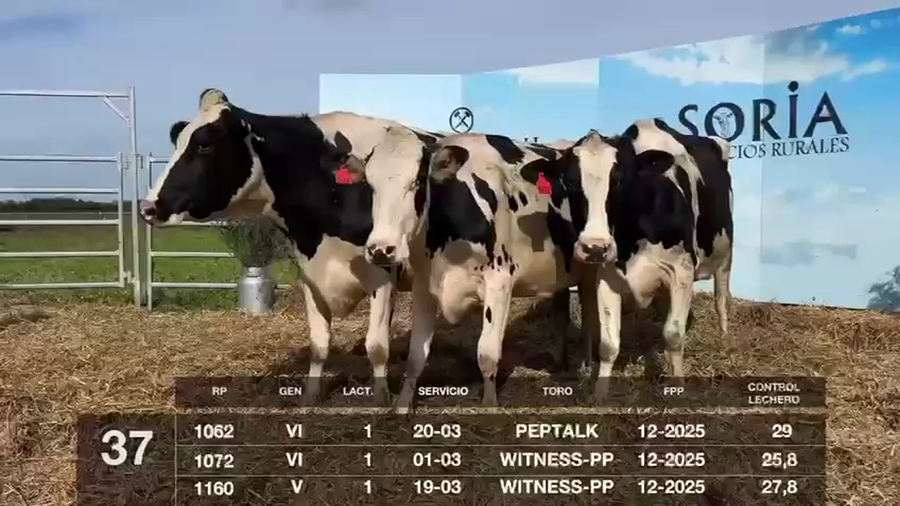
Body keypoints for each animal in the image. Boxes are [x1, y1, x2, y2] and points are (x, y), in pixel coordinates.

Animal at [139, 88, 421, 406]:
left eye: (204, 145)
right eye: (178, 142)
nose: (148, 207)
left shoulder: (383, 272)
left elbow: (377, 345)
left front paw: (381, 399)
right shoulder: (310, 273)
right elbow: (319, 344)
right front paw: (310, 397)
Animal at [360, 126, 597, 413]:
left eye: (417, 180)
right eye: (370, 184)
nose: (381, 250)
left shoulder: (500, 282)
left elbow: (487, 353)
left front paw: (489, 404)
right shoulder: (424, 286)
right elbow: (416, 355)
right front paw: (403, 406)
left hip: (590, 269)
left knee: (589, 319)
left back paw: (585, 367)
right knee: (561, 314)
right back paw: (560, 362)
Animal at [563, 118, 733, 402]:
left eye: (619, 180)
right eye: (569, 181)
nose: (595, 247)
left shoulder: (682, 272)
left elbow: (674, 335)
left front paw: (678, 386)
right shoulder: (606, 277)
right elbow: (609, 343)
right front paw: (600, 394)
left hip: (724, 254)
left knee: (721, 298)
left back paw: (723, 337)